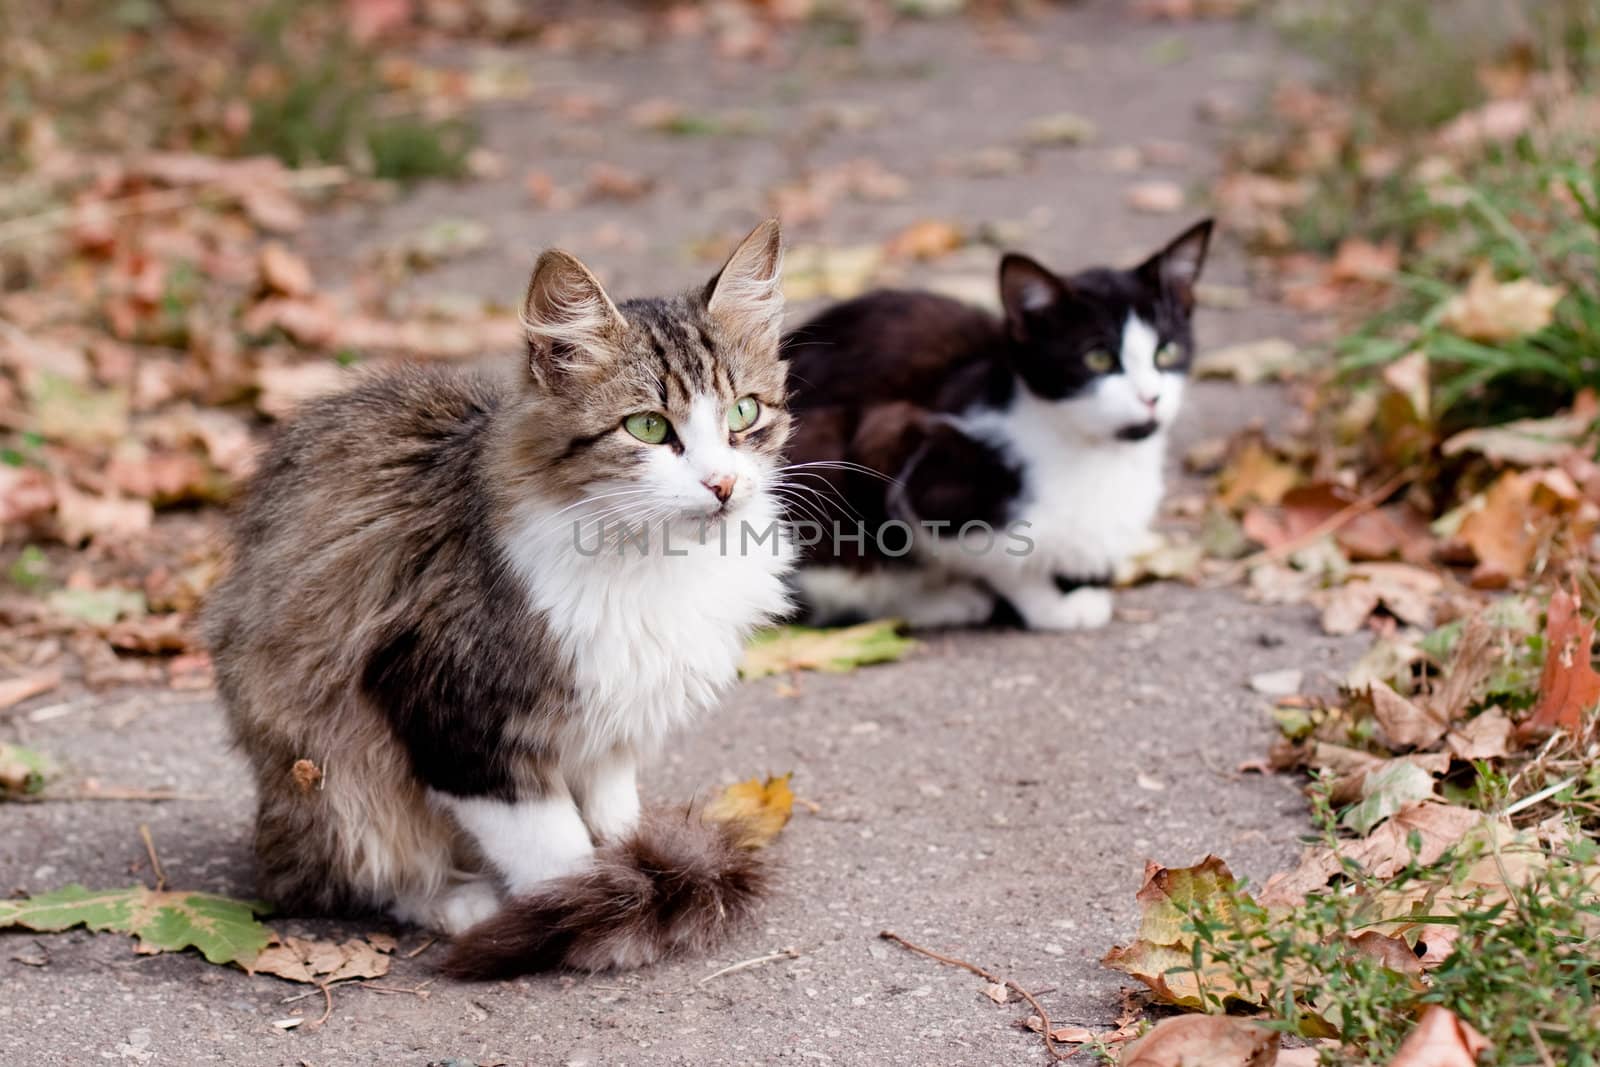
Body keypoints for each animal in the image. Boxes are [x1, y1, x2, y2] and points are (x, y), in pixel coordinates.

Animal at [206, 220, 793, 972]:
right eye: (648, 428)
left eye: (744, 412)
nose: (722, 484)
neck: (656, 560)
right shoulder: (456, 715)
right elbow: (555, 851)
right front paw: (593, 910)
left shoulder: (611, 715)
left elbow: (612, 816)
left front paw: (631, 873)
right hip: (325, 767)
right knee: (362, 868)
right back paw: (462, 901)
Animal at [777, 220, 1209, 630]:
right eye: (1097, 358)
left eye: (1167, 351)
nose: (1151, 397)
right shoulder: (904, 451)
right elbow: (1000, 559)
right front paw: (1053, 606)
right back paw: (942, 602)